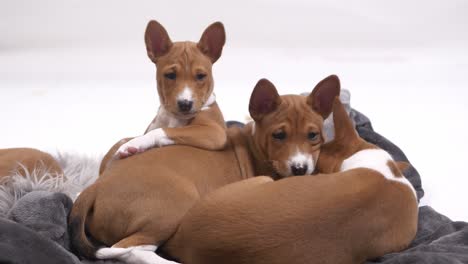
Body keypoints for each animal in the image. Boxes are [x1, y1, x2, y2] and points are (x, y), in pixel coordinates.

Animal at [68, 74, 340, 262]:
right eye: (279, 135)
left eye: (313, 135)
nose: (300, 168)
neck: (253, 147)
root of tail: (96, 187)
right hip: (175, 205)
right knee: (128, 249)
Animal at [111, 19, 227, 160]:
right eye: (170, 75)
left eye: (201, 76)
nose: (185, 104)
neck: (173, 117)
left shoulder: (214, 131)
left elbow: (166, 130)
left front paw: (134, 143)